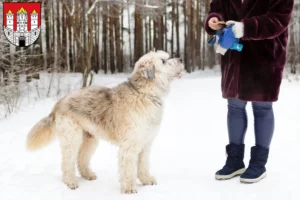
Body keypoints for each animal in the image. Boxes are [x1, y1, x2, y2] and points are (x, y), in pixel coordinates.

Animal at [26, 50, 185, 193]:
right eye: (163, 61)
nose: (181, 59)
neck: (144, 93)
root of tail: (58, 103)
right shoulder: (130, 145)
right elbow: (128, 169)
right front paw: (129, 188)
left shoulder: (145, 143)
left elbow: (143, 165)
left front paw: (146, 180)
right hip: (71, 138)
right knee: (67, 162)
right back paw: (70, 182)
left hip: (90, 139)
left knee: (81, 158)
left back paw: (88, 175)